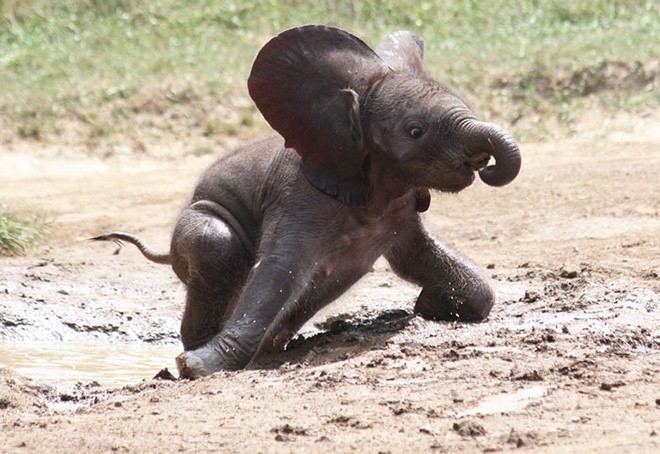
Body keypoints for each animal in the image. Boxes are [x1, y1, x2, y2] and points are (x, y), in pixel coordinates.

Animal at [93, 26, 520, 378]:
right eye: (415, 131)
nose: (485, 164)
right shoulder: (298, 193)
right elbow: (280, 269)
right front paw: (196, 367)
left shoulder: (399, 209)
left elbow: (423, 262)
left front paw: (429, 306)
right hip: (199, 223)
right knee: (216, 244)